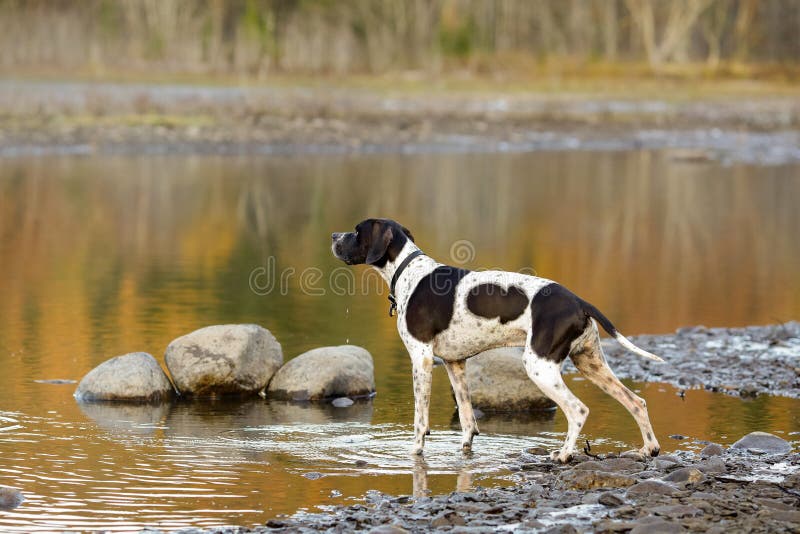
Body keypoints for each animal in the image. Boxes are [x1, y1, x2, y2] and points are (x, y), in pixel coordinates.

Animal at [332, 220, 664, 462]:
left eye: (357, 231)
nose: (334, 235)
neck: (409, 271)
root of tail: (579, 301)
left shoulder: (421, 359)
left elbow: (420, 418)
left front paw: (415, 450)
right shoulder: (455, 364)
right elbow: (467, 420)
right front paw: (465, 451)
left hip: (541, 367)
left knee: (578, 410)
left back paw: (564, 454)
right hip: (591, 365)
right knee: (637, 402)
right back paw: (649, 448)